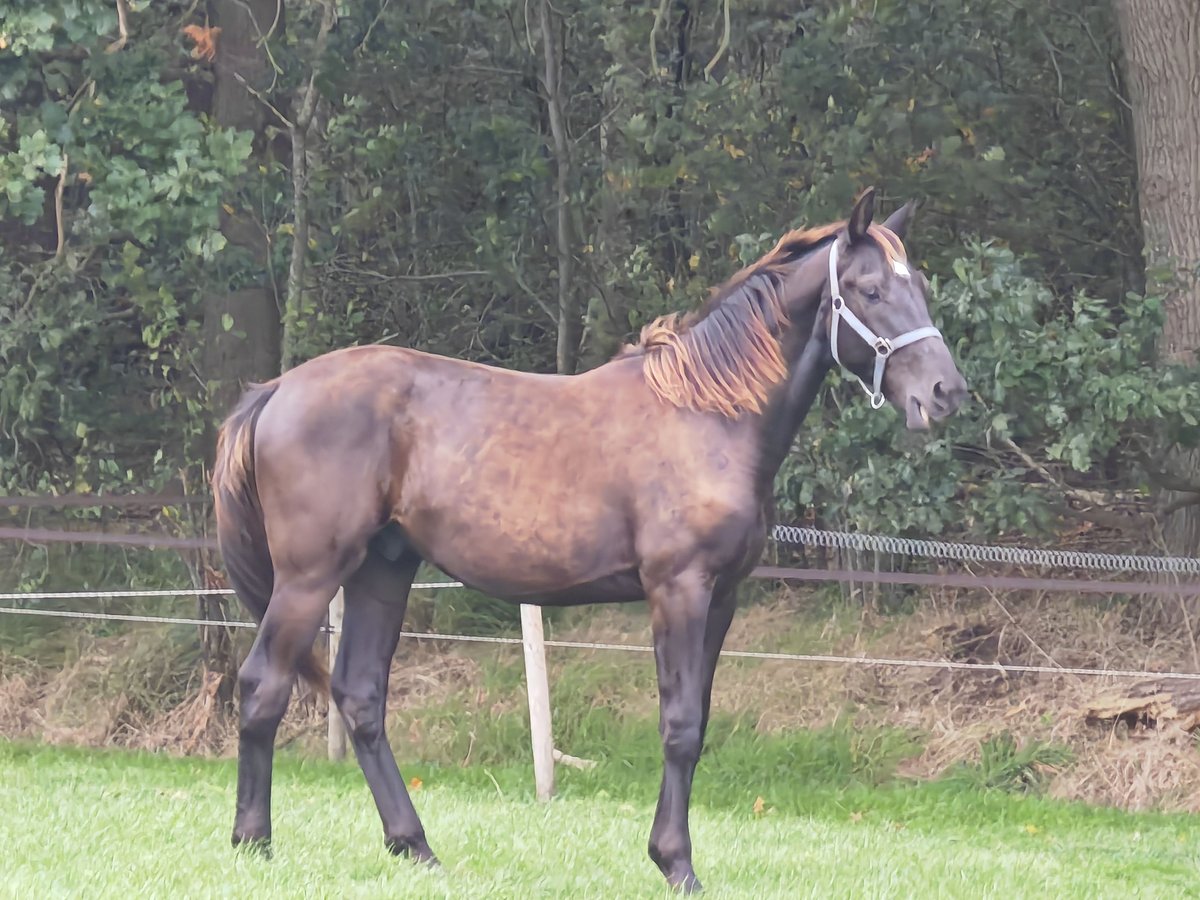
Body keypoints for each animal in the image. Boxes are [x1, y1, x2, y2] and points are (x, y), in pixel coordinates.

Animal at [213, 187, 964, 892]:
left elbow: (698, 720)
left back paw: (415, 847)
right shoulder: (679, 590)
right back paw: (253, 843)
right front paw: (676, 864)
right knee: (263, 686)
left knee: (362, 698)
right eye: (870, 290)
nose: (945, 391)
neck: (710, 417)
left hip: (382, 571)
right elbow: (679, 726)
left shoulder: (722, 598)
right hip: (310, 576)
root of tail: (277, 390)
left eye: (921, 285)